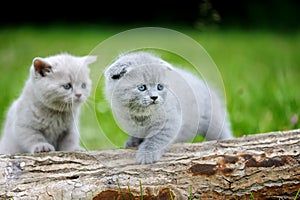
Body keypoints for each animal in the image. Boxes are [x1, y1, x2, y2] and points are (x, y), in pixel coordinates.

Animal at [104, 51, 233, 164]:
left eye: (159, 87)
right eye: (142, 87)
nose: (154, 97)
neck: (141, 115)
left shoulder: (170, 121)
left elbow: (156, 139)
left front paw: (147, 155)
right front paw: (132, 142)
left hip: (212, 118)